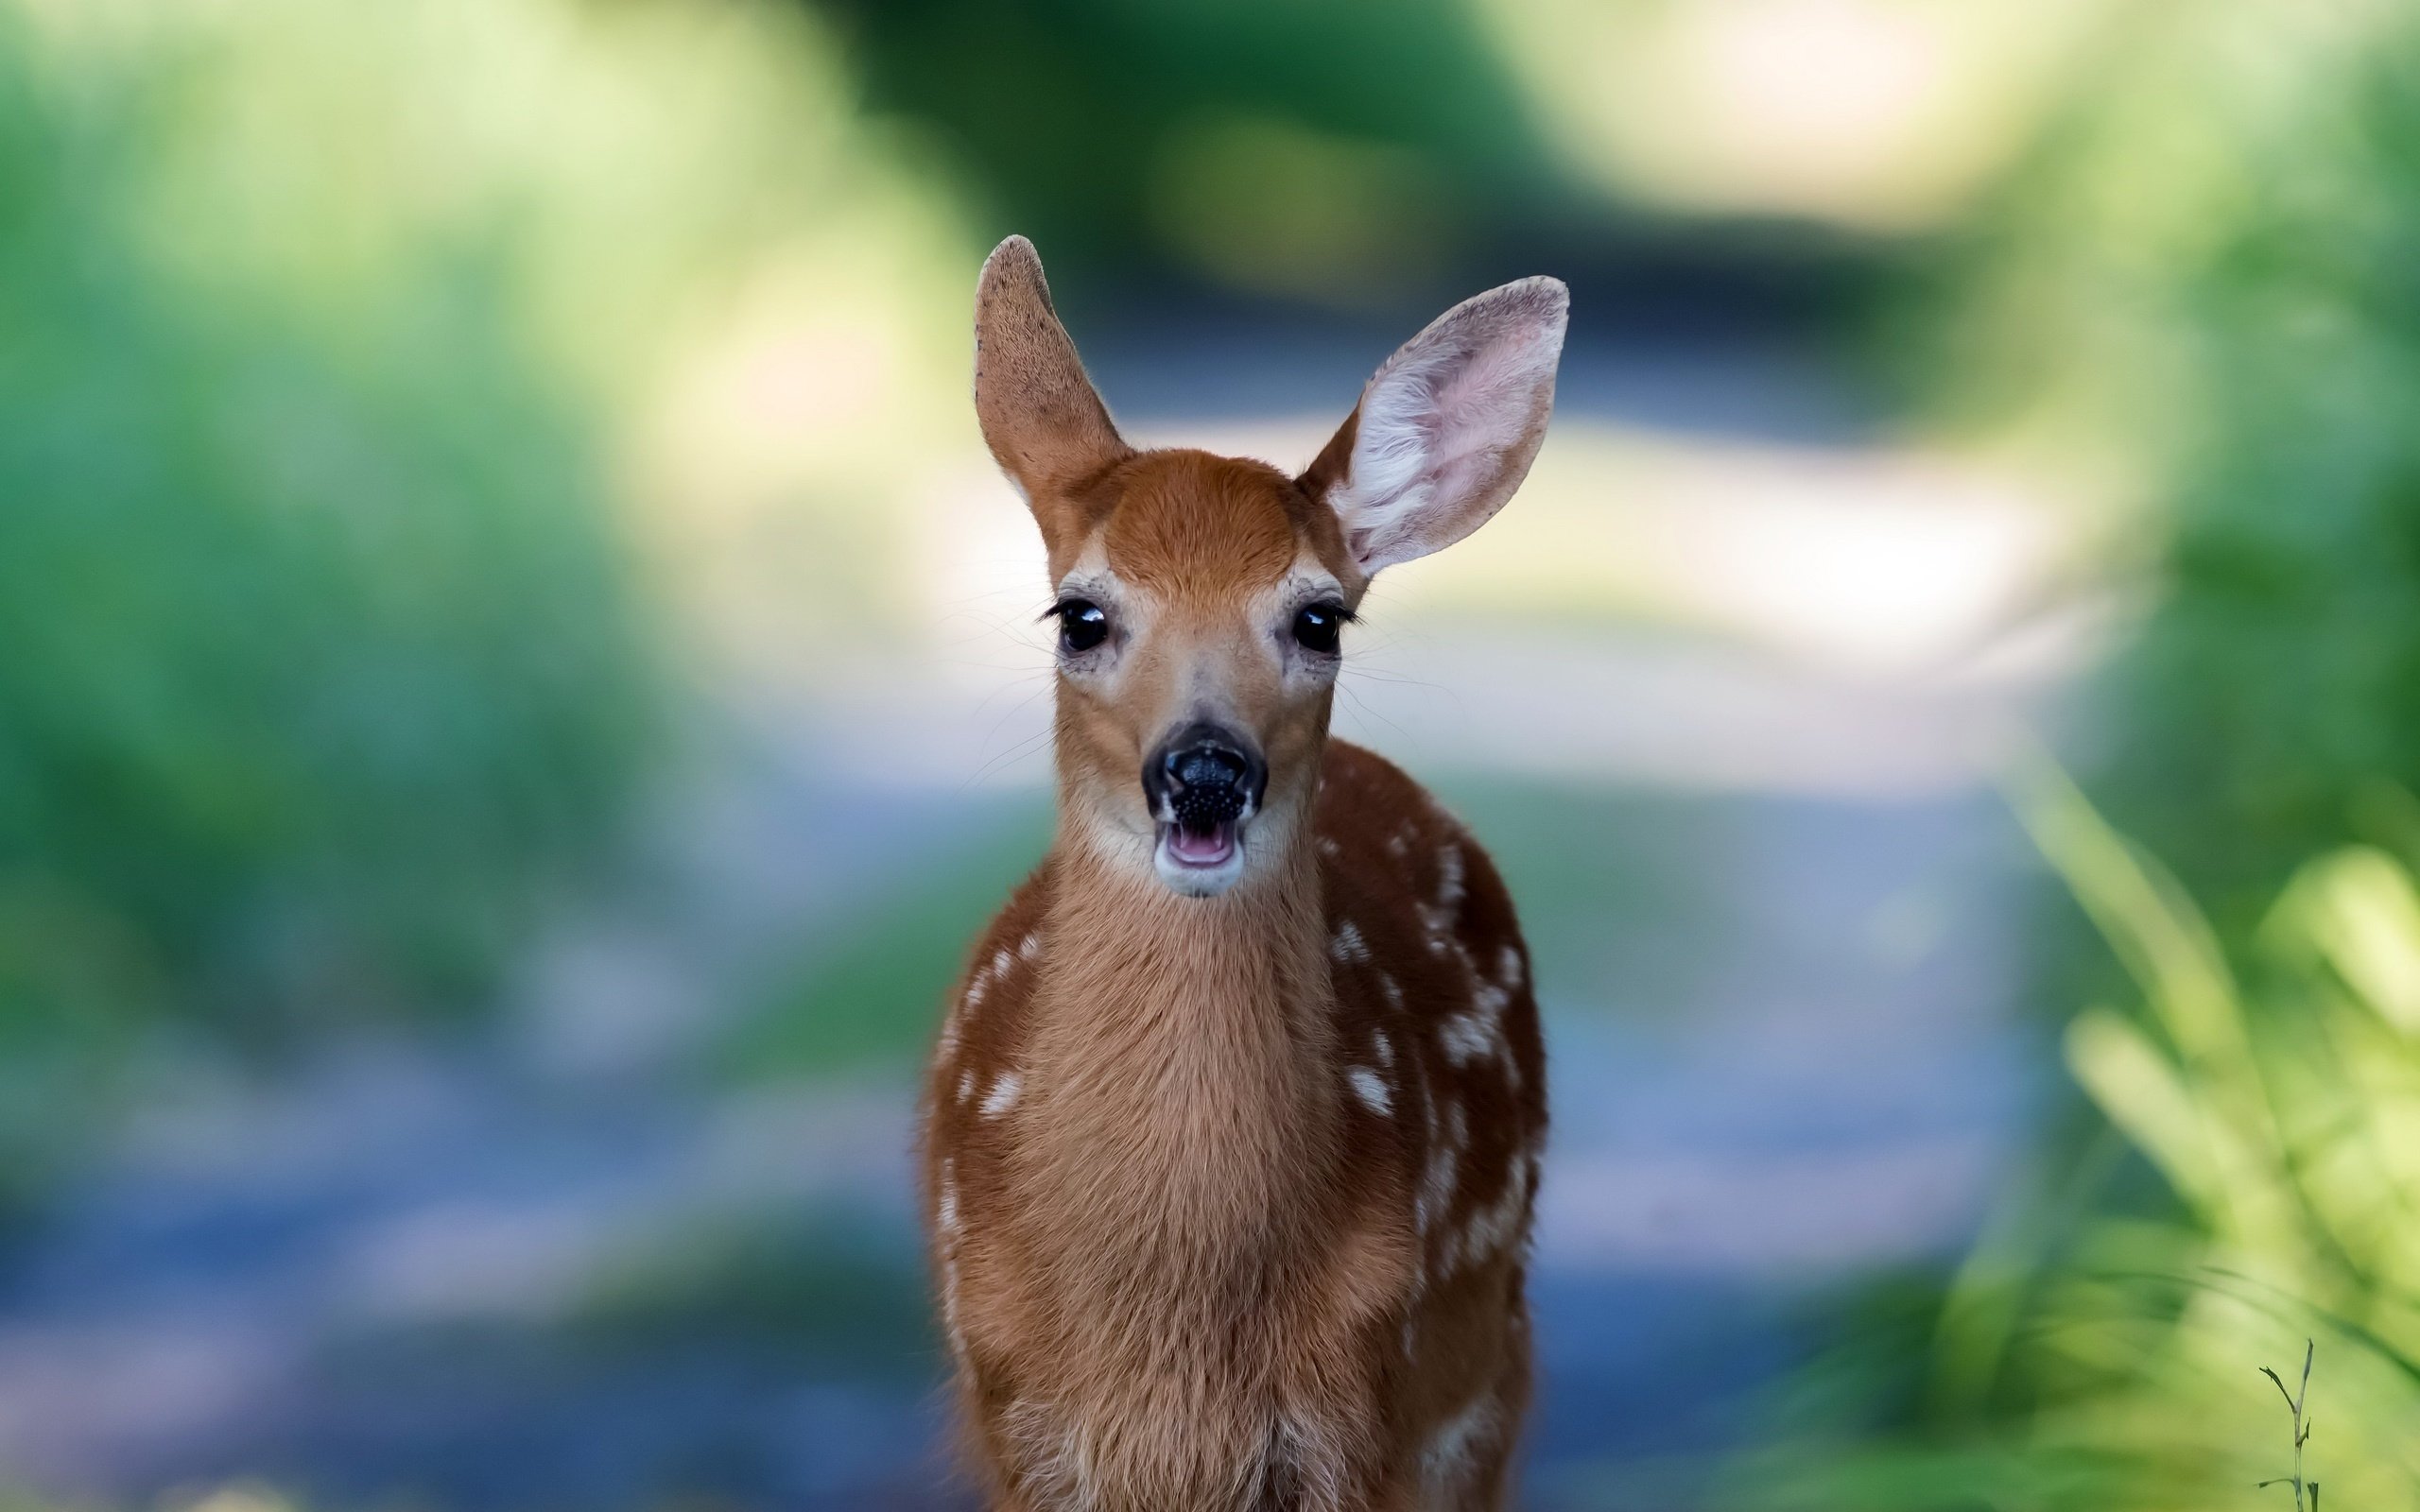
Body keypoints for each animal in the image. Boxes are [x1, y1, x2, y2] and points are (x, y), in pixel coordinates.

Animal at [914, 238, 1558, 1509]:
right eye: (1080, 615)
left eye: (1319, 618)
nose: (1205, 769)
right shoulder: (1014, 1409)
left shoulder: (1365, 1400)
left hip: (1482, 1380)